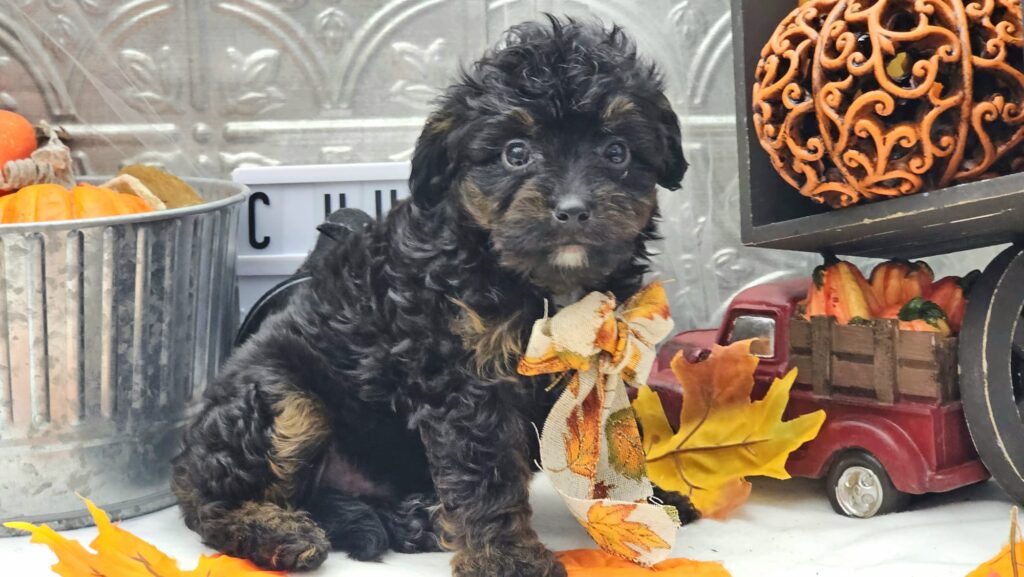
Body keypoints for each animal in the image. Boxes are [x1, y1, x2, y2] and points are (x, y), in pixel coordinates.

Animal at [172, 15, 692, 573]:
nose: (572, 210)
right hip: (284, 401)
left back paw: (412, 519)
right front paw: (507, 556)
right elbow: (486, 475)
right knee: (211, 503)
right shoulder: (464, 381)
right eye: (515, 152)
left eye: (616, 152)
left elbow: (614, 445)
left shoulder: (604, 356)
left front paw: (646, 506)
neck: (542, 287)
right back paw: (277, 532)